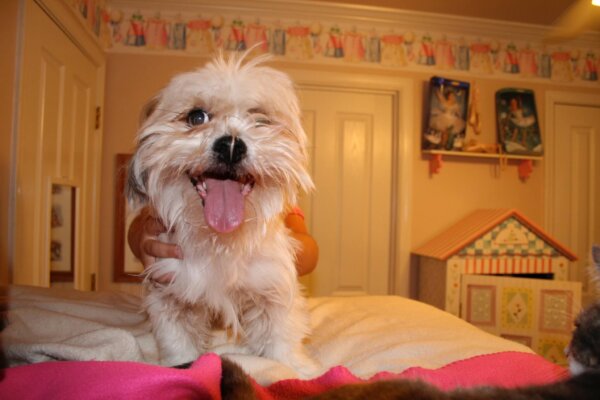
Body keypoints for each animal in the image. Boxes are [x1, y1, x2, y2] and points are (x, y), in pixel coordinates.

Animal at [128, 52, 318, 376]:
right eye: (196, 117)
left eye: (260, 120)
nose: (230, 145)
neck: (220, 241)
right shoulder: (171, 295)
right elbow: (178, 346)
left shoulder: (273, 290)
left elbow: (280, 342)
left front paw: (297, 369)